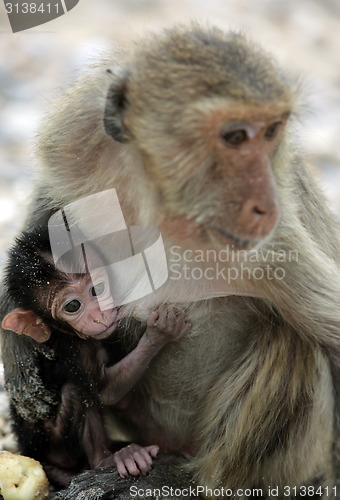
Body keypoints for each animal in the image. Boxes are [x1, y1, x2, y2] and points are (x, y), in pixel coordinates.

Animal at [0, 227, 191, 488]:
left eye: (97, 290)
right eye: (72, 306)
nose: (99, 316)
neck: (64, 334)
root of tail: (33, 453)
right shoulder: (75, 350)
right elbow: (105, 392)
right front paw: (159, 334)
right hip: (57, 447)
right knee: (77, 392)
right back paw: (112, 458)